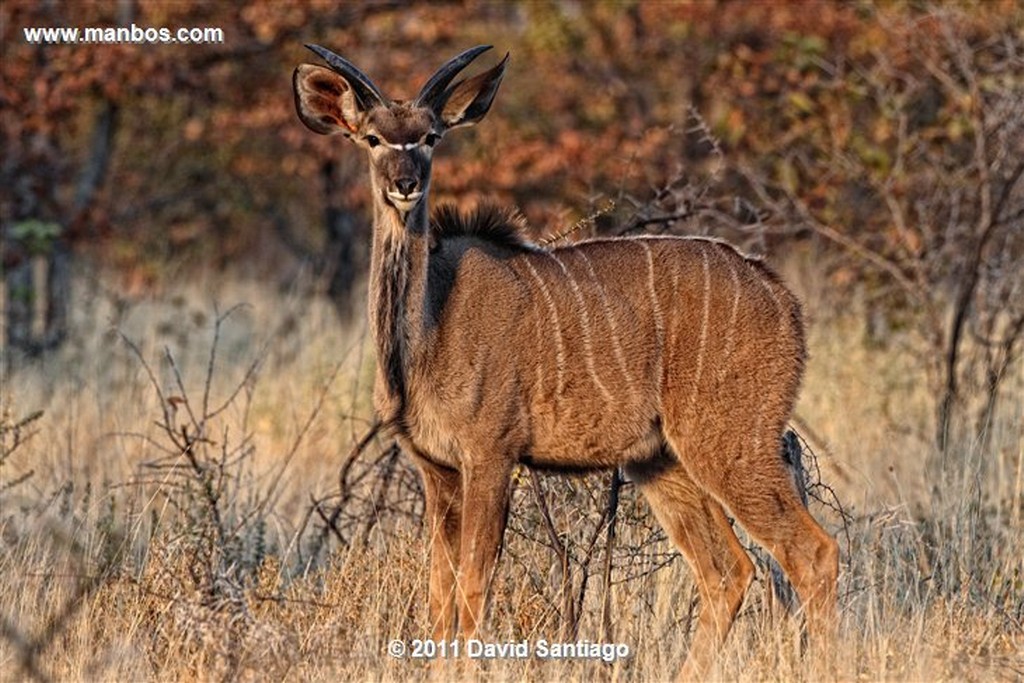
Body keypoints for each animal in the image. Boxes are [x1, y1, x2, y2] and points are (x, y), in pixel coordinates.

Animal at [292, 44, 835, 679]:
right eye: (373, 138)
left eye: (430, 137)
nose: (405, 184)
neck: (430, 326)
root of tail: (782, 298)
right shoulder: (436, 469)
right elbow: (438, 595)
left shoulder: (490, 455)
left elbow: (472, 586)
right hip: (661, 463)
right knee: (728, 571)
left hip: (728, 442)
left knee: (812, 553)